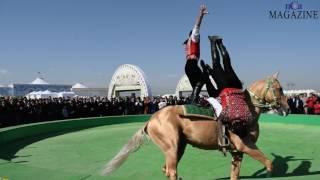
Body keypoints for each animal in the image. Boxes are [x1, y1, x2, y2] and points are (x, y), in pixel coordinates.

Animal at [100, 72, 290, 179]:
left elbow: (235, 174)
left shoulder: (237, 151)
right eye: (279, 89)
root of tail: (151, 120)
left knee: (166, 169)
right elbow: (269, 163)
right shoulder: (245, 145)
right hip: (171, 147)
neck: (245, 107)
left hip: (179, 147)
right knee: (171, 171)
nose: (287, 108)